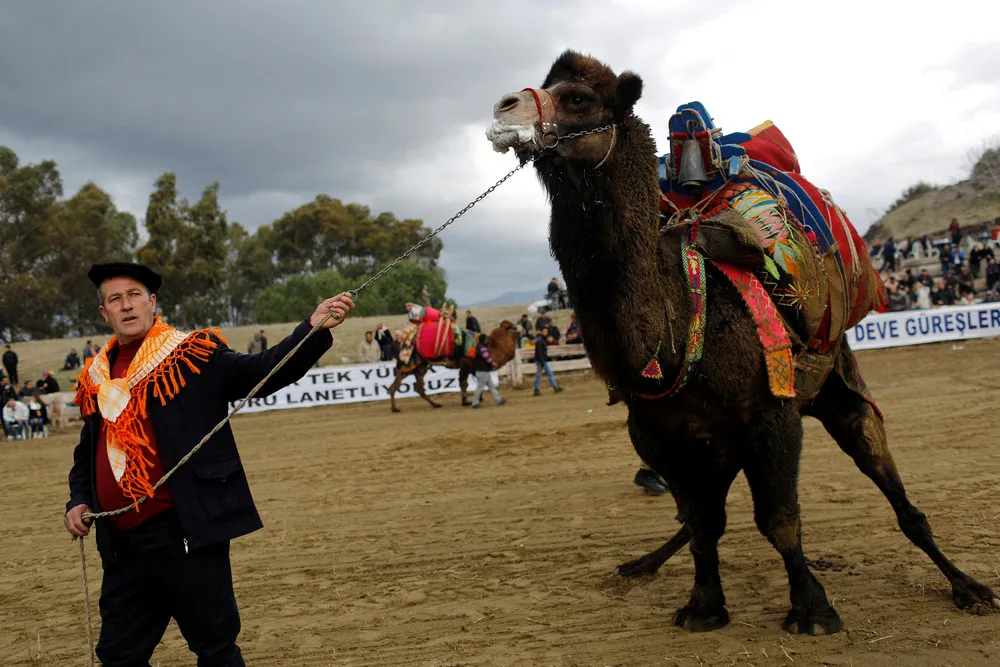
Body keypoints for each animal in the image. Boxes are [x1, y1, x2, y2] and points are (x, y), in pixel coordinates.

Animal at [387, 320, 517, 413]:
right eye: (510, 326)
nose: (517, 327)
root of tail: (405, 342)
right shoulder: (467, 364)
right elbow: (464, 382)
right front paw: (468, 401)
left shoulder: (472, 367)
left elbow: (475, 381)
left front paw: (474, 399)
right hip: (412, 363)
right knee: (398, 384)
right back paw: (396, 408)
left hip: (420, 367)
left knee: (415, 387)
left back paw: (434, 404)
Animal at [485, 50, 998, 634]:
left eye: (579, 97)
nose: (504, 107)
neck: (674, 327)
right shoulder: (658, 433)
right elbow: (703, 521)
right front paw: (704, 605)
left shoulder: (769, 413)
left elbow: (777, 519)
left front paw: (813, 610)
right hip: (724, 440)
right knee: (701, 513)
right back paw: (643, 564)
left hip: (837, 386)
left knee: (892, 486)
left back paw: (967, 585)